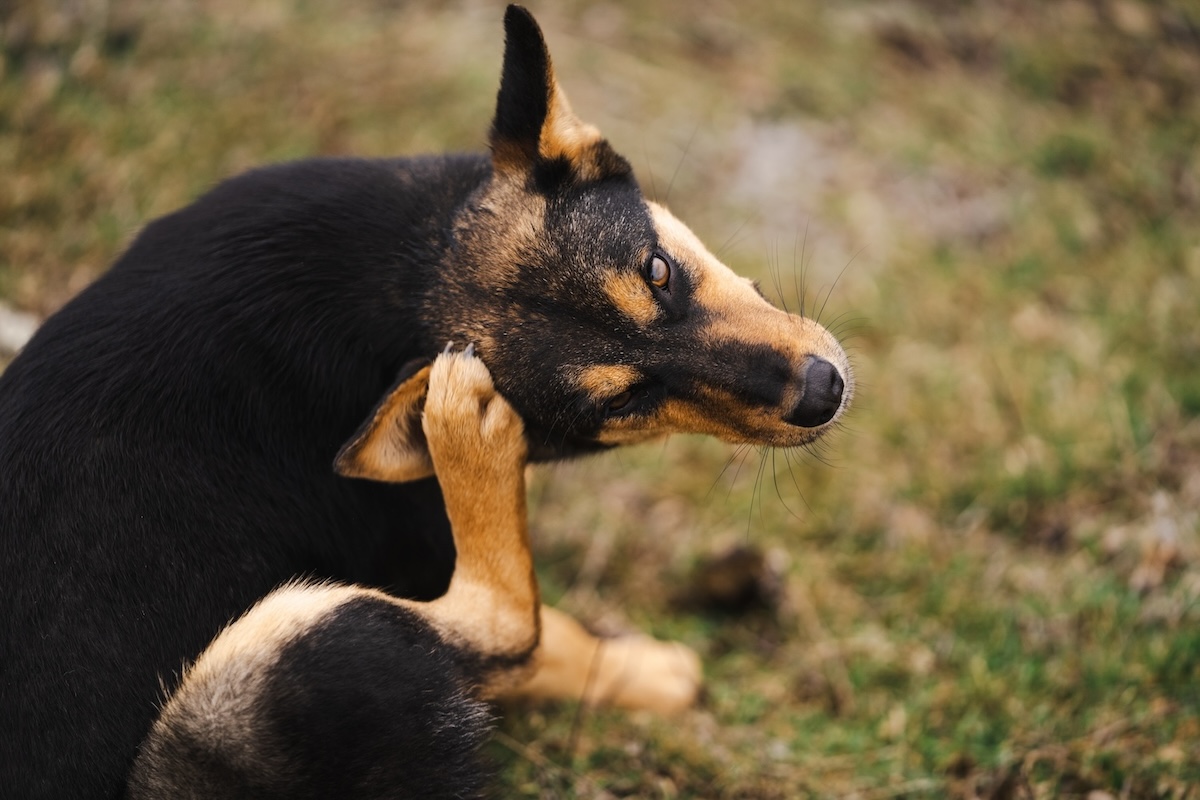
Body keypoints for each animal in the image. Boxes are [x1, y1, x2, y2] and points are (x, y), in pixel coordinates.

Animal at [0, 7, 854, 800]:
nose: (824, 392)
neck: (399, 284)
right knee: (503, 623)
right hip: (274, 660)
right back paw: (466, 434)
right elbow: (543, 641)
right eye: (623, 402)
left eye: (658, 271)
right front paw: (653, 676)